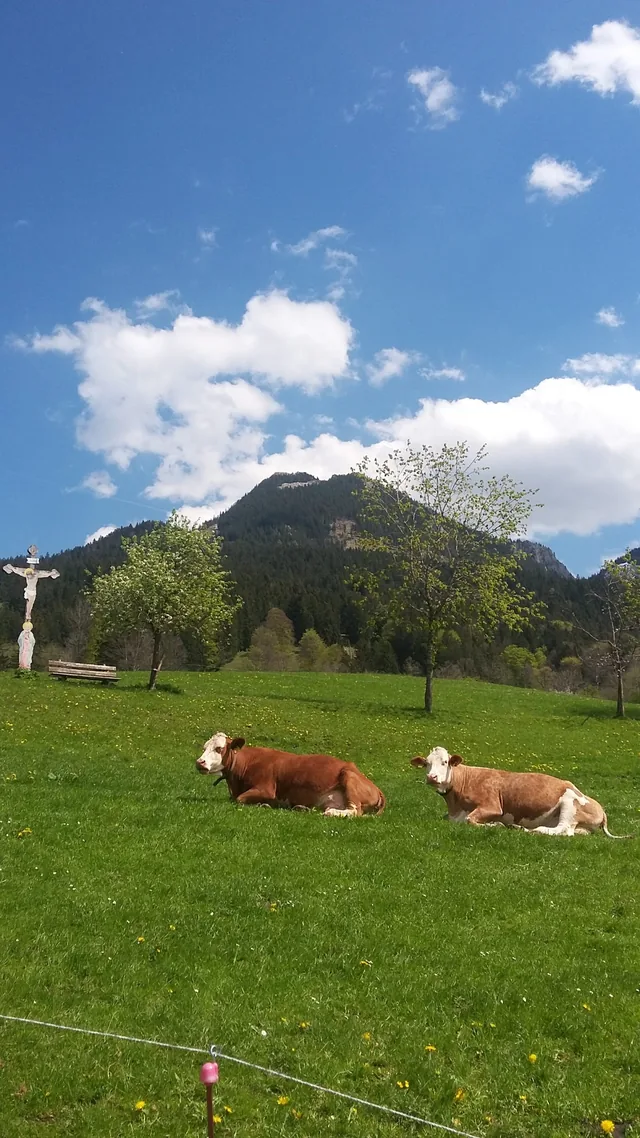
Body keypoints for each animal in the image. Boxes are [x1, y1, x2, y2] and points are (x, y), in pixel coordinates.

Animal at [196, 732, 385, 816]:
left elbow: (239, 799)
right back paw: (302, 808)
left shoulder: (265, 789)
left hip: (348, 777)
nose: (199, 762)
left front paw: (266, 805)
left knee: (355, 811)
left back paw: (331, 813)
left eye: (219, 748)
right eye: (204, 747)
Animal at [411, 746, 630, 838]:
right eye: (426, 763)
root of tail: (600, 807)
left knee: (561, 830)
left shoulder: (492, 806)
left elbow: (471, 820)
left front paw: (496, 825)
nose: (432, 777)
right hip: (581, 826)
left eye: (445, 762)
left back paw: (523, 829)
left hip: (569, 804)